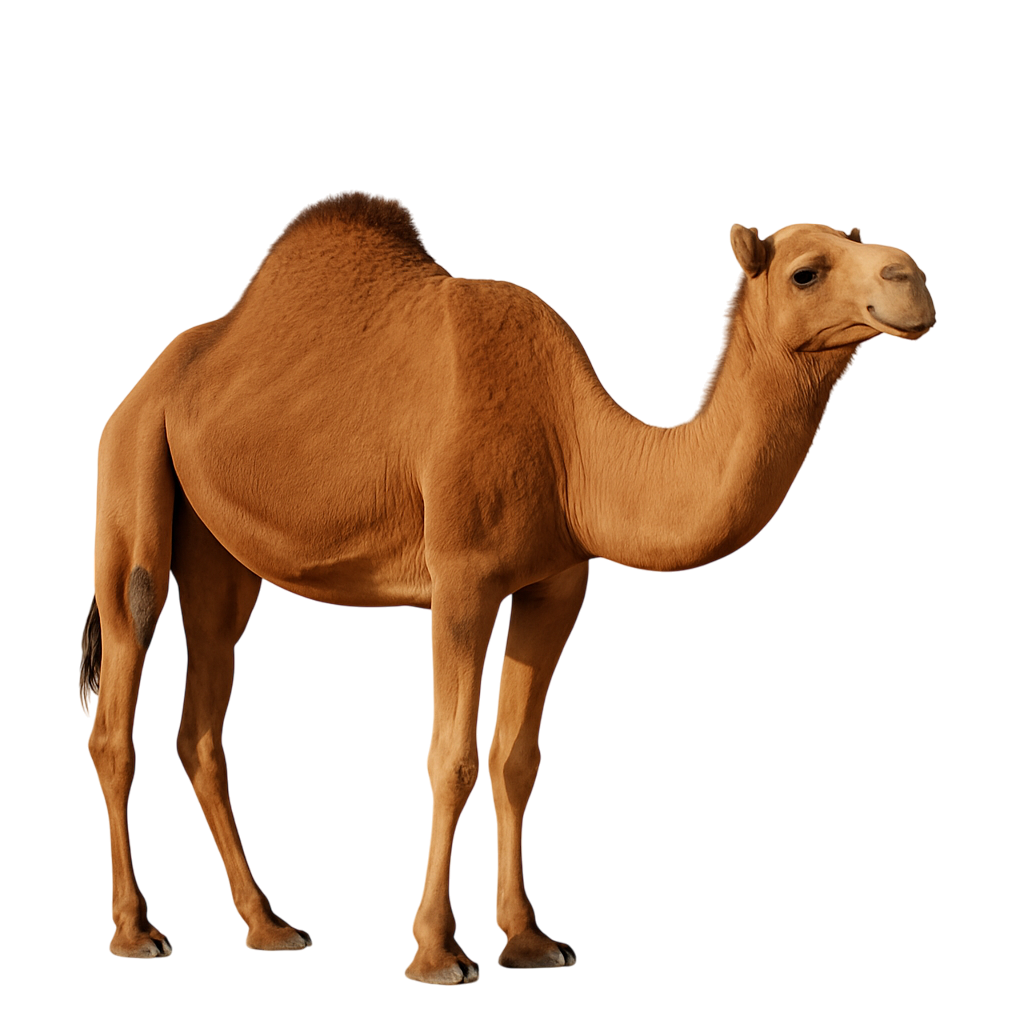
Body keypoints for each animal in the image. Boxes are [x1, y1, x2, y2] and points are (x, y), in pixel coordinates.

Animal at [80, 191, 934, 984]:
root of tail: (158, 373)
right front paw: (435, 951)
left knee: (202, 714)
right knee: (122, 678)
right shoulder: (461, 578)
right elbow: (451, 755)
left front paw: (528, 940)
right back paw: (136, 932)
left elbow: (515, 756)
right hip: (129, 466)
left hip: (220, 550)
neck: (574, 444)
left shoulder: (556, 583)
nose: (911, 279)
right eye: (806, 271)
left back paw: (270, 924)